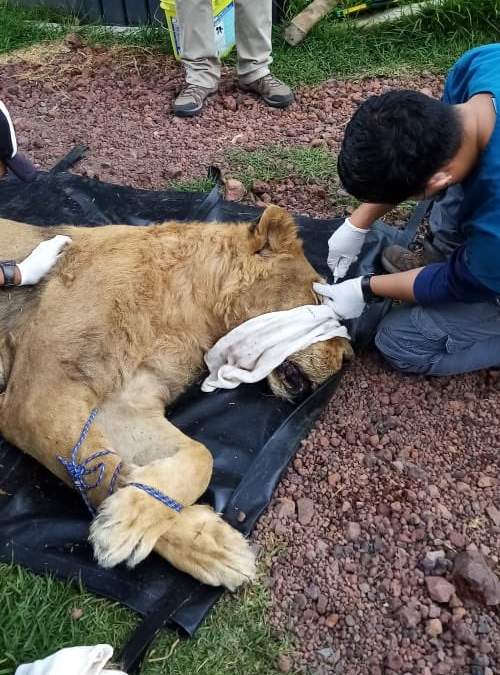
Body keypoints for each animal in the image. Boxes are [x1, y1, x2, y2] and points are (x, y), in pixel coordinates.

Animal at [0, 206, 352, 590]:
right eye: (318, 298)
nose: (349, 357)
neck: (189, 306)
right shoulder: (38, 398)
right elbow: (101, 469)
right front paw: (126, 526)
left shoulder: (123, 404)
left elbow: (201, 458)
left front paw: (205, 543)